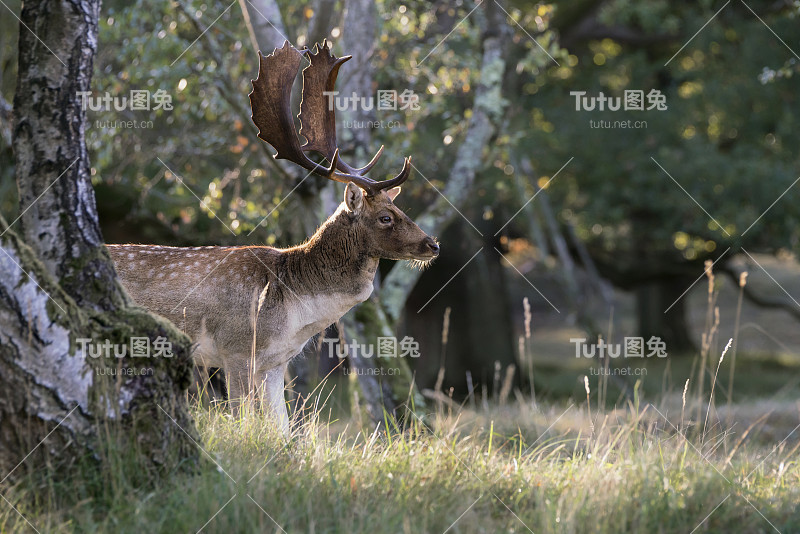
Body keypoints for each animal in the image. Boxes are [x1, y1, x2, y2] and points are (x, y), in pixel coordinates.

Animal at [108, 43, 438, 436]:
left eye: (399, 207)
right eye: (386, 217)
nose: (433, 245)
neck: (293, 309)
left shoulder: (274, 364)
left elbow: (283, 430)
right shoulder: (235, 348)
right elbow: (242, 420)